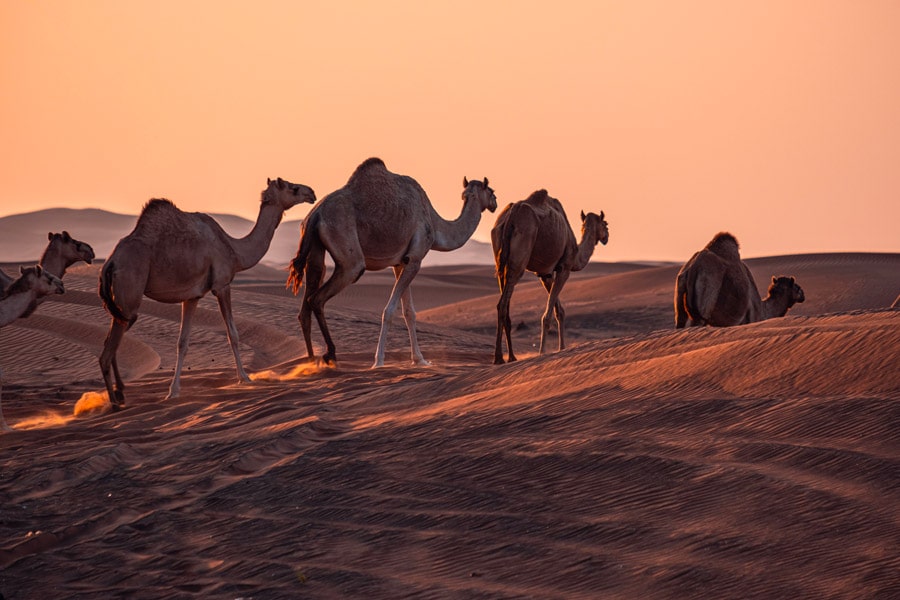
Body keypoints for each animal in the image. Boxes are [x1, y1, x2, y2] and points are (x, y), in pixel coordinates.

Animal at [99, 178, 315, 408]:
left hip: (119, 306)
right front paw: (244, 378)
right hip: (129, 298)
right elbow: (233, 334)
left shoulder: (192, 296)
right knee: (106, 353)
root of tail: (110, 264)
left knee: (110, 346)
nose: (311, 193)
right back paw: (114, 403)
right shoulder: (222, 285)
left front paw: (173, 391)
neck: (234, 250)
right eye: (293, 188)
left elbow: (182, 342)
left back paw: (120, 394)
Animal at [287, 157, 497, 367]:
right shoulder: (415, 259)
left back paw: (311, 361)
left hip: (315, 249)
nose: (495, 203)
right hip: (349, 257)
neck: (435, 224)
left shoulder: (400, 263)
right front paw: (379, 361)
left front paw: (420, 359)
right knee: (318, 298)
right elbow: (389, 310)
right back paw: (330, 354)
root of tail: (315, 215)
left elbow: (409, 312)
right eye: (491, 191)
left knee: (307, 301)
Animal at [491, 190, 609, 364]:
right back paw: (500, 357)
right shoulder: (564, 268)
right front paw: (543, 351)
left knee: (503, 302)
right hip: (520, 253)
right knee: (503, 303)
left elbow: (559, 311)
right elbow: (548, 314)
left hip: (500, 258)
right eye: (605, 224)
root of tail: (511, 215)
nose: (606, 237)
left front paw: (561, 348)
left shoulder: (544, 274)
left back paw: (511, 357)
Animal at [674, 232, 805, 328]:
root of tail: (693, 268)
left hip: (681, 298)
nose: (803, 295)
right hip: (704, 304)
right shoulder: (750, 319)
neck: (763, 310)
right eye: (797, 287)